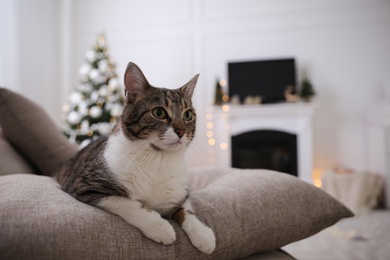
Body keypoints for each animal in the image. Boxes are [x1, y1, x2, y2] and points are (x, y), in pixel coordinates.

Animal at [56, 62, 216, 254]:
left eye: (188, 115)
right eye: (159, 112)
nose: (181, 131)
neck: (158, 160)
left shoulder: (180, 192)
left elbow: (186, 210)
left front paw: (202, 233)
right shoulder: (85, 185)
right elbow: (128, 203)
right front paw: (159, 226)